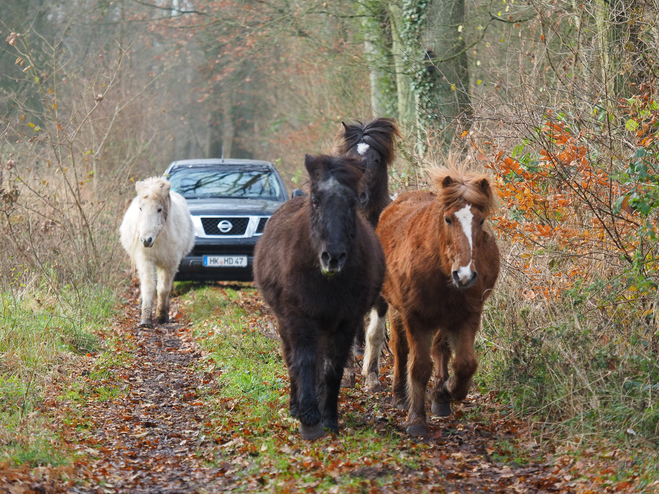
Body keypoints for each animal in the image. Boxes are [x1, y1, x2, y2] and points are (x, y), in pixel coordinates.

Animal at [120, 178, 195, 328]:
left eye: (159, 209)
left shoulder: (170, 263)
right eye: (141, 208)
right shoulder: (145, 260)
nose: (146, 240)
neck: (158, 238)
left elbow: (164, 289)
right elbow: (148, 286)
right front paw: (145, 318)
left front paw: (161, 316)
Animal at [366, 168, 500, 434]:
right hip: (397, 309)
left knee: (441, 350)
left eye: (480, 221)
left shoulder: (468, 316)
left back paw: (439, 396)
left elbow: (465, 364)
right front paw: (416, 419)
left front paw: (447, 390)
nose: (465, 275)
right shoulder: (415, 317)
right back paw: (400, 395)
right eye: (448, 219)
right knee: (401, 349)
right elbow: (418, 366)